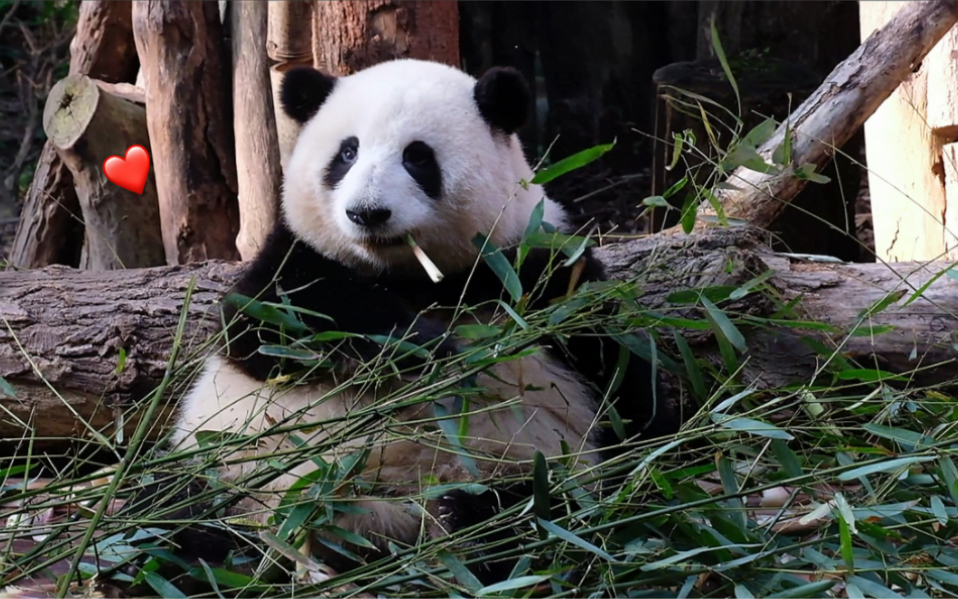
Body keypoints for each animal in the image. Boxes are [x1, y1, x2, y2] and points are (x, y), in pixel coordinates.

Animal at [171, 58, 684, 584]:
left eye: (417, 157)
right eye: (347, 152)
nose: (367, 213)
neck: (412, 278)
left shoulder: (540, 267)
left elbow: (620, 375)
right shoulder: (294, 257)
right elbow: (268, 326)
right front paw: (424, 346)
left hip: (511, 475)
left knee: (517, 519)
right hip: (226, 472)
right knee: (185, 520)